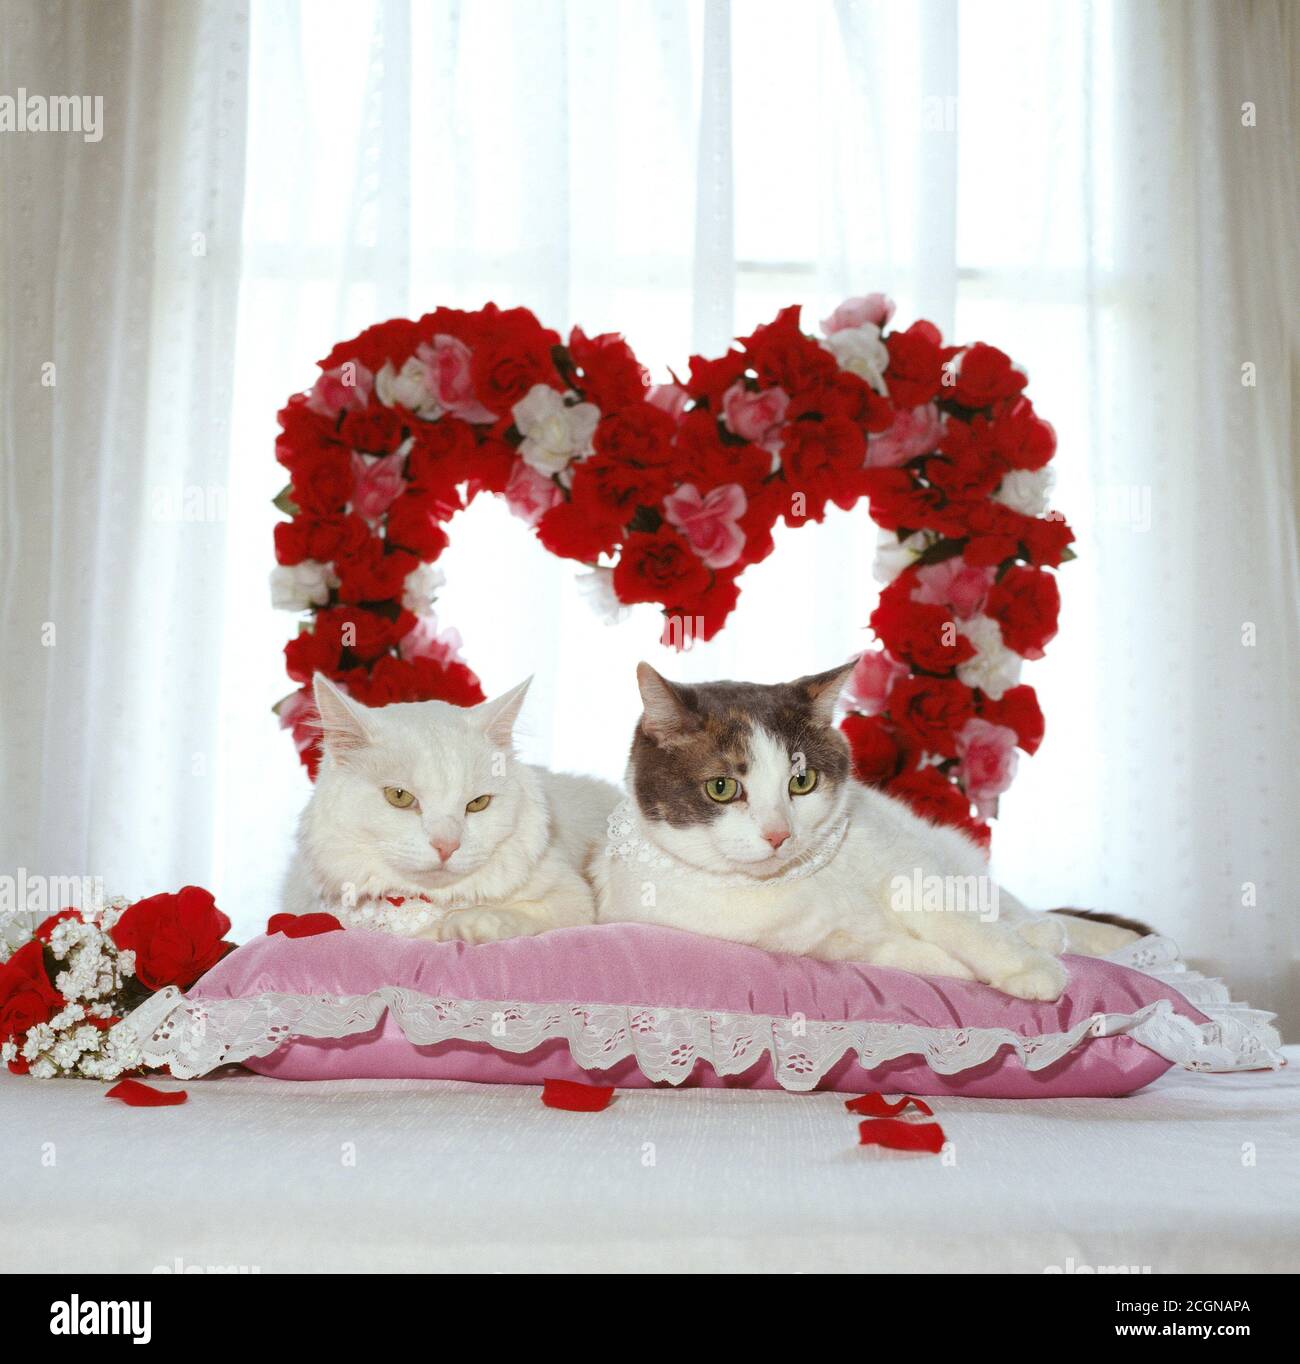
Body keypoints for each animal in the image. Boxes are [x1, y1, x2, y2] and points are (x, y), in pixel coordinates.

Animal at [283, 673, 619, 949]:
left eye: (478, 803)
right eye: (399, 797)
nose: (447, 845)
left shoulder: (572, 897)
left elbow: (519, 912)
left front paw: (463, 925)